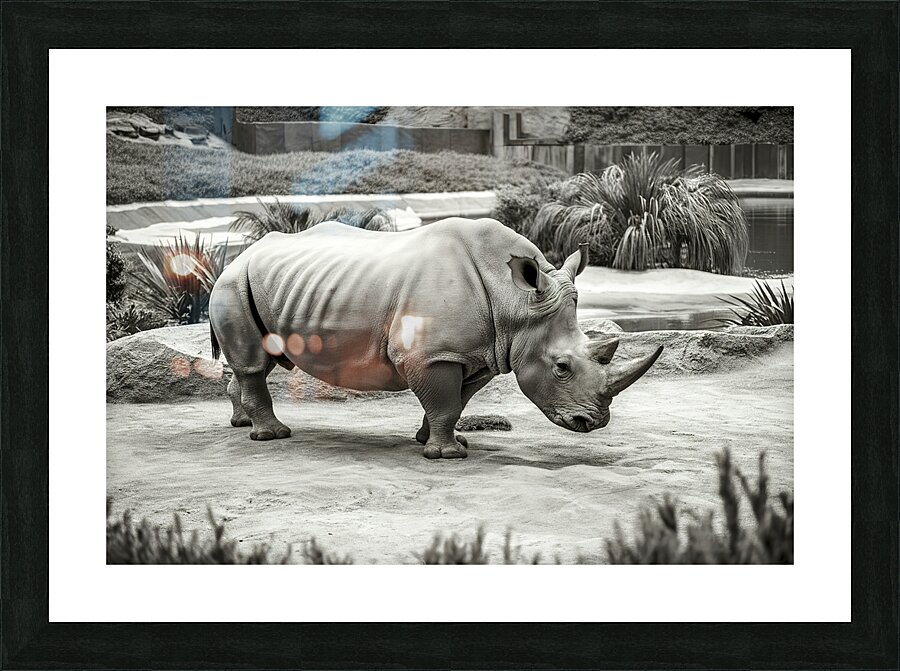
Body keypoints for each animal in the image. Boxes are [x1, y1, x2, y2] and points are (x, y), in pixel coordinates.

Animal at [208, 217, 662, 459]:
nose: (593, 423)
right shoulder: (431, 354)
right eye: (562, 368)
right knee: (253, 363)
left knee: (253, 363)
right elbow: (443, 400)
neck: (515, 302)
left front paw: (438, 440)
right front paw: (448, 455)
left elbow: (456, 401)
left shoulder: (482, 353)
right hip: (233, 283)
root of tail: (239, 255)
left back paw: (241, 423)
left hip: (262, 282)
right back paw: (272, 436)